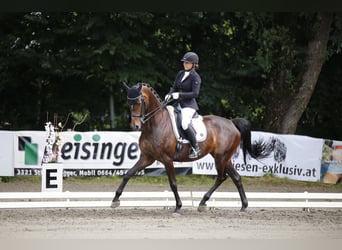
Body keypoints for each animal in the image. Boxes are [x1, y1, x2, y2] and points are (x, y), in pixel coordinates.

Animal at [112, 82, 270, 213]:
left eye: (139, 102)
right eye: (128, 102)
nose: (135, 126)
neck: (154, 124)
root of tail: (231, 122)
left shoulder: (167, 159)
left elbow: (173, 183)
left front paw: (178, 206)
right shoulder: (147, 158)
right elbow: (128, 174)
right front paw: (115, 200)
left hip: (221, 157)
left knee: (221, 177)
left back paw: (203, 202)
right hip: (224, 157)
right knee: (235, 177)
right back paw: (242, 205)